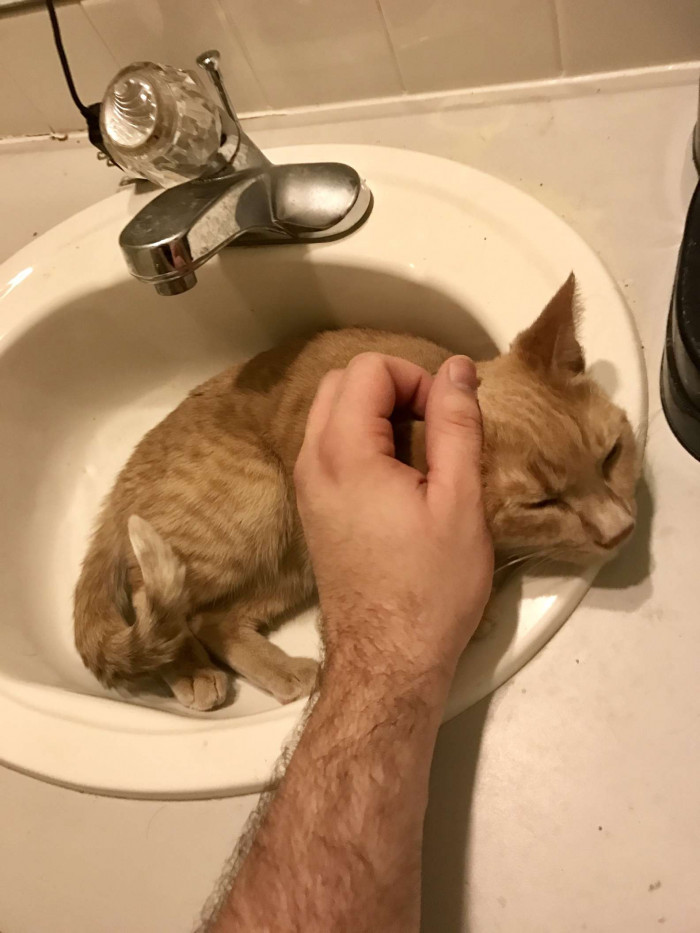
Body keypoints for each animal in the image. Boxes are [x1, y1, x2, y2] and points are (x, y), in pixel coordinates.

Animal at [75, 274, 640, 708]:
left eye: (611, 455)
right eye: (542, 503)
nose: (621, 532)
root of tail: (122, 482)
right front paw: (476, 614)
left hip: (293, 560)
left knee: (213, 617)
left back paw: (282, 671)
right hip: (257, 500)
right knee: (155, 595)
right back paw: (190, 671)